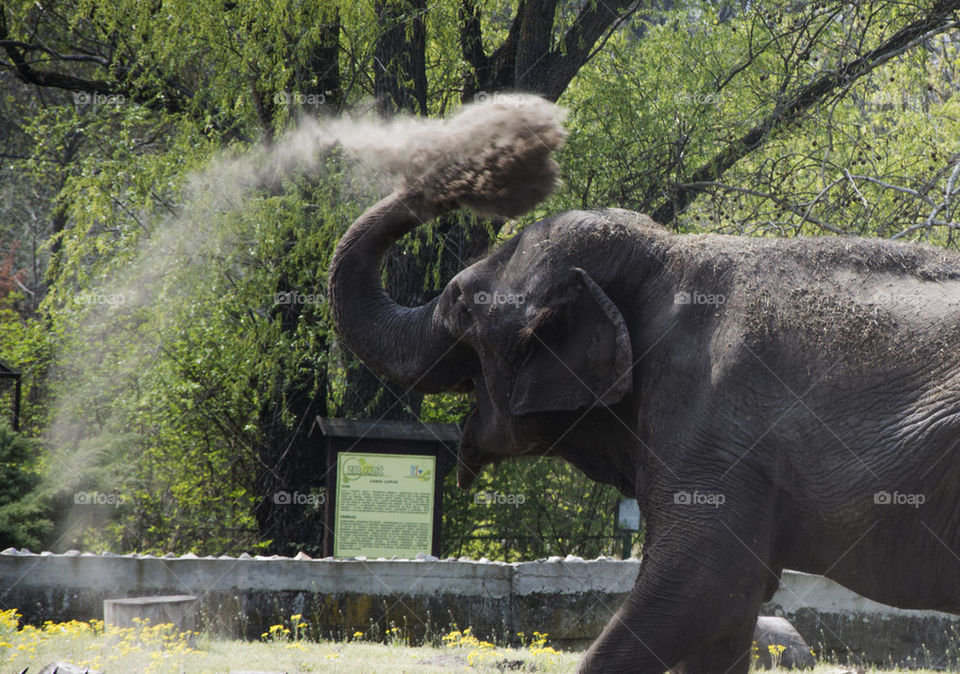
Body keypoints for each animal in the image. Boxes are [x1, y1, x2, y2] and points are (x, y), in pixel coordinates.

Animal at [328, 96, 960, 672]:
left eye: (460, 304)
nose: (519, 136)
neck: (668, 256)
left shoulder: (710, 432)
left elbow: (701, 584)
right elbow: (725, 618)